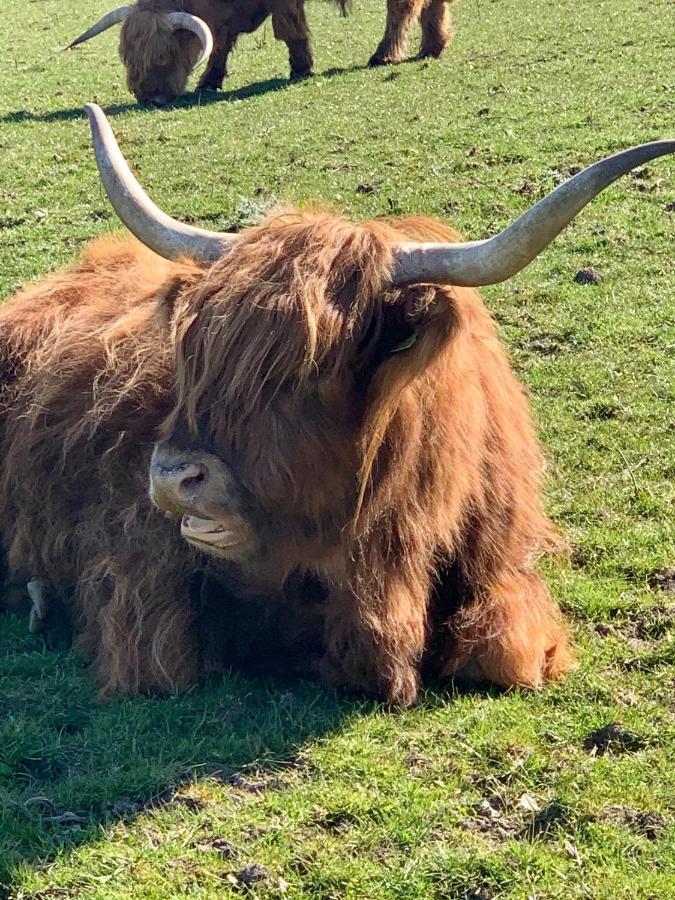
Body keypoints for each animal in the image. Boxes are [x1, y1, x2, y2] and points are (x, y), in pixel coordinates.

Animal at [2, 105, 672, 708]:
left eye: (308, 372)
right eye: (192, 353)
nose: (172, 477)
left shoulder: (505, 582)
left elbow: (502, 652)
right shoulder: (141, 581)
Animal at [66, 0, 352, 104]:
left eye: (163, 57)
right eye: (127, 57)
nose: (148, 97)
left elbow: (290, 30)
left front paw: (300, 69)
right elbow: (219, 45)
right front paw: (208, 82)